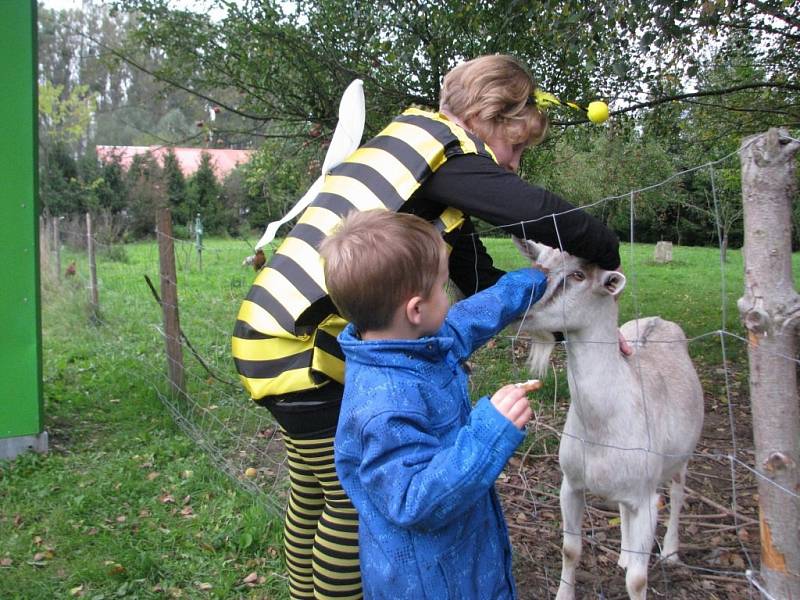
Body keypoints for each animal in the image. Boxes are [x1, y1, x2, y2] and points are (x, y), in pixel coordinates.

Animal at [516, 239, 704, 600]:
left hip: (681, 456)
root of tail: (660, 319)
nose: (521, 303)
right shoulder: (570, 483)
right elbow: (570, 549)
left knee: (676, 494)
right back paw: (623, 556)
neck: (603, 427)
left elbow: (638, 580)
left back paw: (670, 553)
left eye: (578, 275)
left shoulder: (646, 498)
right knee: (623, 508)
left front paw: (642, 568)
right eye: (539, 263)